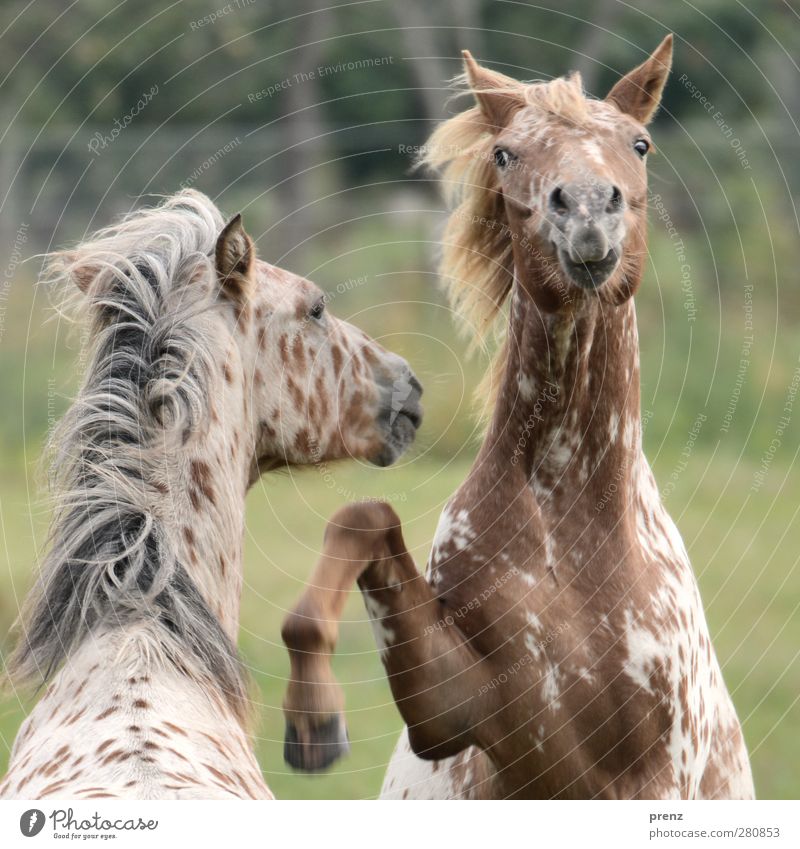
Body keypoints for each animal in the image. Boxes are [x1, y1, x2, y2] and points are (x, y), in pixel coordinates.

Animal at [282, 36, 756, 800]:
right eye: (506, 153)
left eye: (640, 143)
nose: (587, 212)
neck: (566, 527)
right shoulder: (458, 711)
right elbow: (361, 517)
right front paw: (314, 722)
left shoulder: (653, 774)